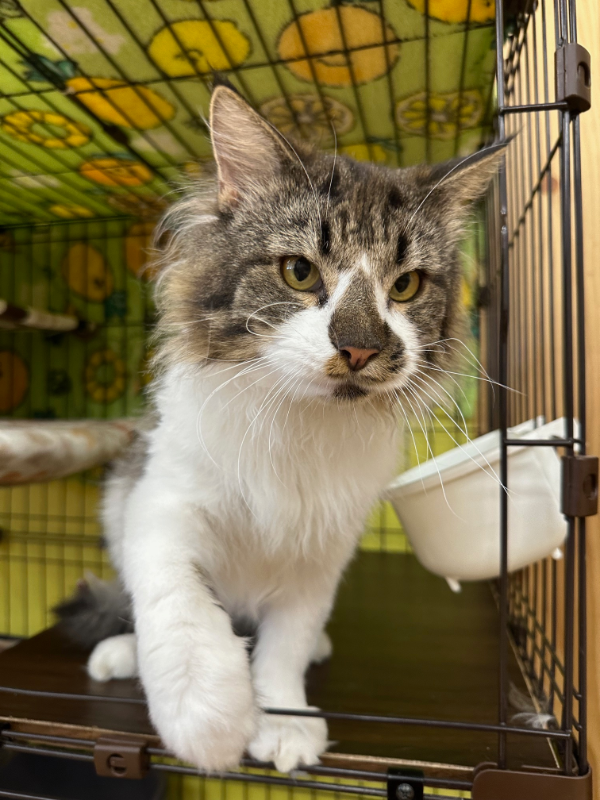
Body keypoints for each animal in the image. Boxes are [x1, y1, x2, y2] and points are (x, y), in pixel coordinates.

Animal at [56, 79, 504, 774]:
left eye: (405, 286)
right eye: (299, 272)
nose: (360, 348)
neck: (299, 421)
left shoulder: (322, 554)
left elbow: (286, 643)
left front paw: (284, 723)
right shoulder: (159, 505)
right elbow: (179, 605)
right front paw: (208, 720)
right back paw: (119, 654)